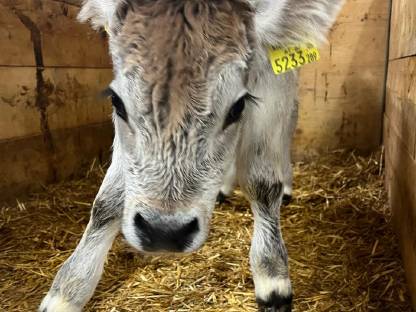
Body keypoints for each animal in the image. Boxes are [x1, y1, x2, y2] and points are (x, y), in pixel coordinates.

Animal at [40, 1, 342, 310]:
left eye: (236, 107)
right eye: (117, 103)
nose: (165, 232)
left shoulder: (270, 76)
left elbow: (263, 184)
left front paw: (272, 278)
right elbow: (106, 201)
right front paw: (67, 291)